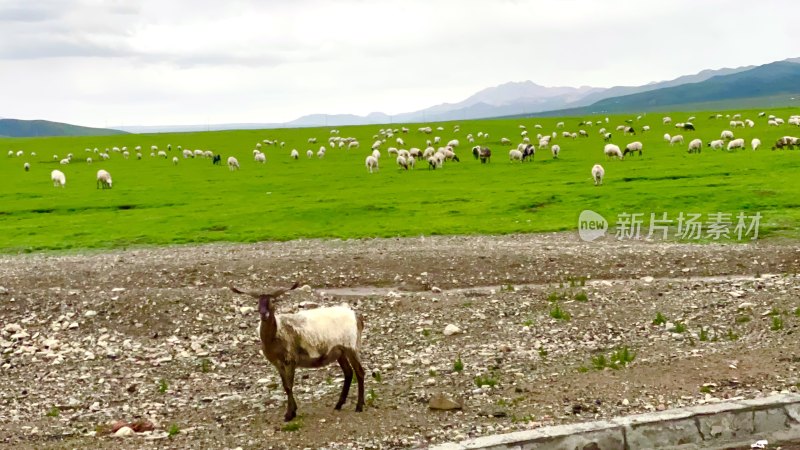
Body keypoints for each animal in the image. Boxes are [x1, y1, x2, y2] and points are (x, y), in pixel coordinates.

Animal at [230, 284, 364, 422]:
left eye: (272, 301)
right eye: (258, 301)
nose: (264, 314)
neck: (276, 334)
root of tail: (357, 318)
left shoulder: (290, 359)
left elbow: (289, 386)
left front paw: (289, 414)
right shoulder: (277, 363)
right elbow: (285, 386)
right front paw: (292, 411)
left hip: (351, 346)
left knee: (359, 372)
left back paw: (359, 406)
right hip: (339, 351)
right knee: (348, 373)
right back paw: (338, 405)